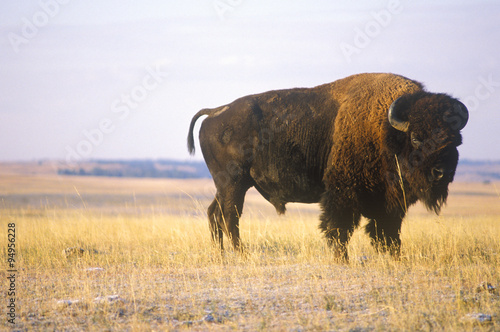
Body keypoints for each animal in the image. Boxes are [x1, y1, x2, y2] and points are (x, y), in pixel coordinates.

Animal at [188, 73, 468, 262]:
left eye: (455, 140)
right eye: (416, 138)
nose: (440, 173)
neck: (385, 131)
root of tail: (216, 112)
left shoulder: (390, 202)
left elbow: (387, 231)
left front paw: (395, 257)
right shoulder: (343, 192)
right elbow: (339, 228)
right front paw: (342, 260)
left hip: (228, 185)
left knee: (214, 214)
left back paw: (222, 254)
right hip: (233, 184)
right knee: (229, 216)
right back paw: (242, 254)